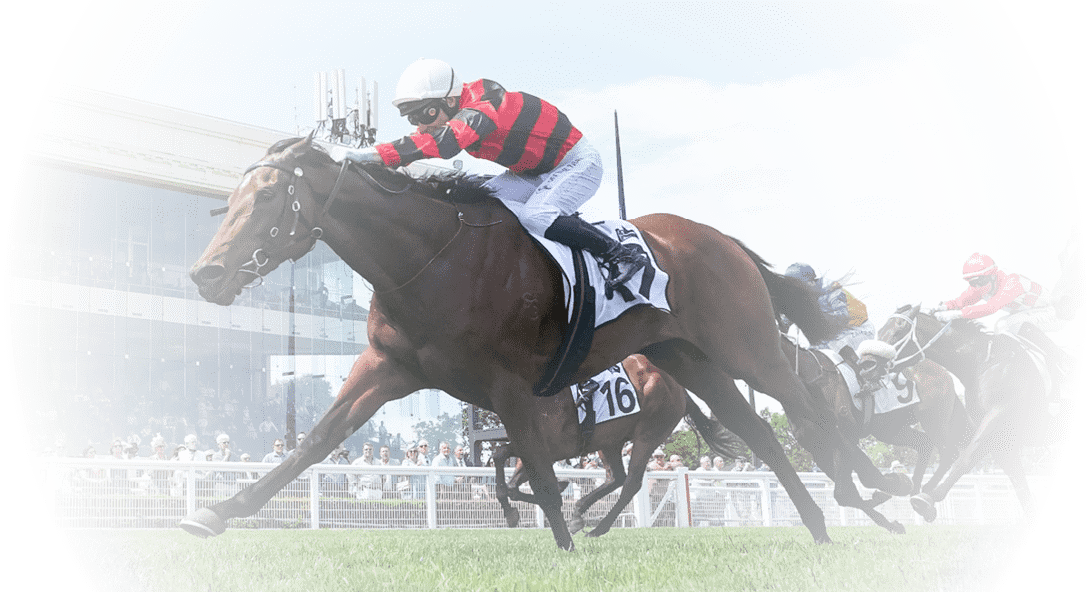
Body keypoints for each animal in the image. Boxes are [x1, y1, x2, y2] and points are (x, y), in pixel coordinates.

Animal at [490, 354, 744, 539]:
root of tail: (676, 385)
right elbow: (504, 466)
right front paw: (514, 511)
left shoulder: (553, 447)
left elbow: (509, 469)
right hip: (609, 441)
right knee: (616, 477)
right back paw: (579, 512)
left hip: (648, 434)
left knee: (630, 483)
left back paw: (596, 529)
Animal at [779, 333, 975, 531]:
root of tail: (942, 370)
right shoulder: (819, 450)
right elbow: (848, 492)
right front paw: (891, 517)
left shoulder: (843, 438)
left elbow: (850, 488)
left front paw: (893, 488)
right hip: (890, 429)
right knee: (925, 444)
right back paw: (916, 490)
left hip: (933, 419)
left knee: (949, 452)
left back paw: (925, 494)